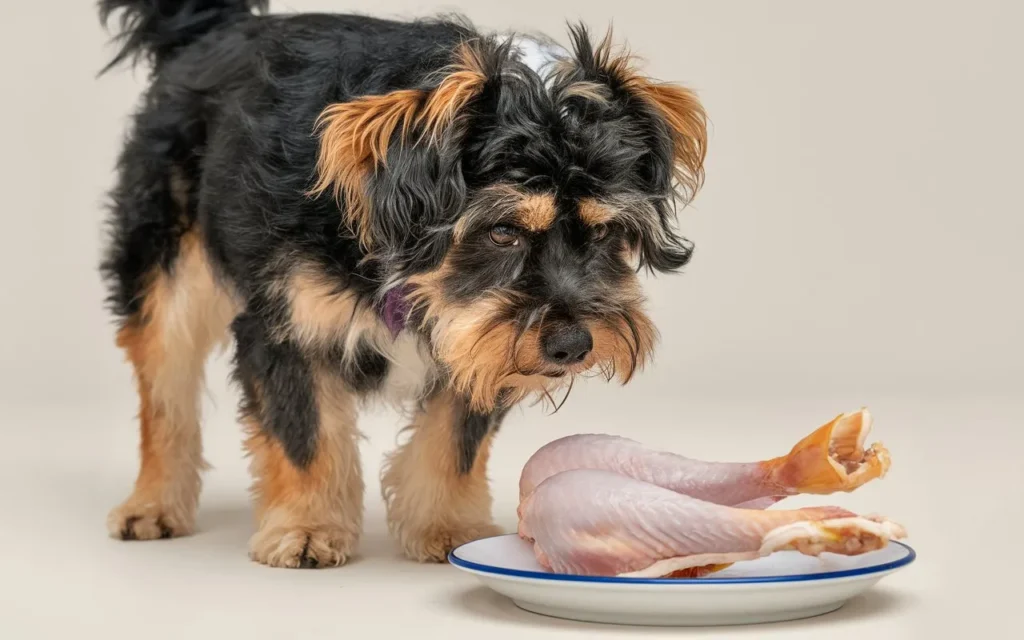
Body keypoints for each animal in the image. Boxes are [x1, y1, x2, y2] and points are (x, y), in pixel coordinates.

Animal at [96, 1, 704, 569]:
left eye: (604, 230)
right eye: (502, 231)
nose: (573, 345)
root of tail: (213, 30)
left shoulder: (477, 345)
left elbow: (453, 441)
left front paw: (448, 529)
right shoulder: (285, 327)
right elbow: (305, 436)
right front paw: (307, 529)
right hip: (166, 273)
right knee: (165, 394)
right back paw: (151, 506)